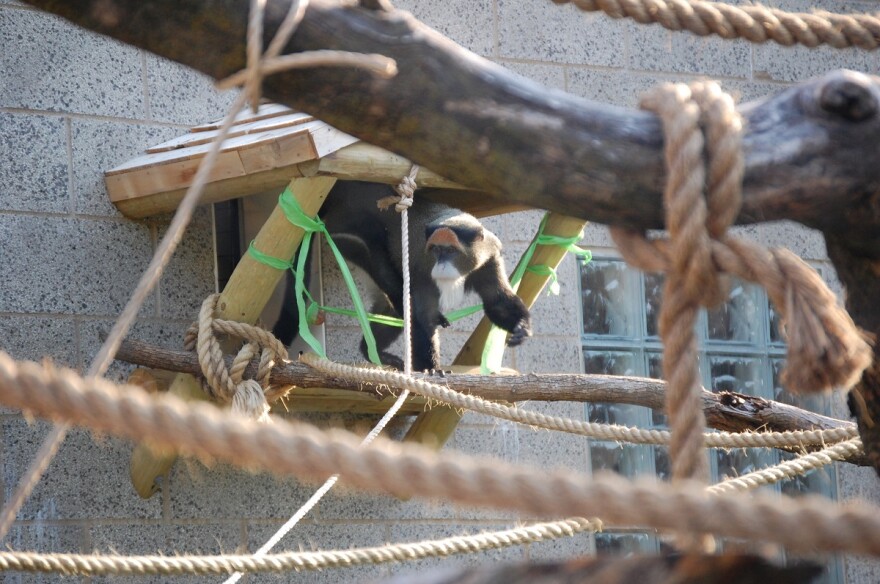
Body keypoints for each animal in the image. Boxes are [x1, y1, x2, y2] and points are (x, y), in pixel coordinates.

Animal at [274, 181, 528, 370]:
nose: (441, 265)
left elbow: (497, 300)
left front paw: (520, 328)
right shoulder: (422, 269)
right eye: (435, 250)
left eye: (450, 251)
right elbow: (421, 315)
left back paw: (371, 351)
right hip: (351, 240)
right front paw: (430, 369)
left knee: (391, 308)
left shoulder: (489, 258)